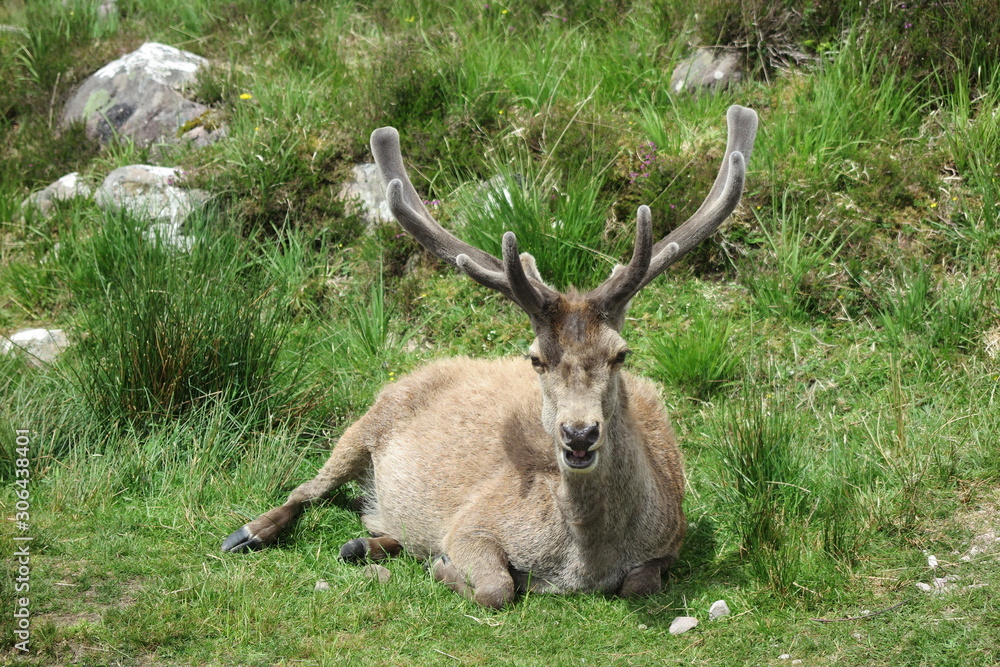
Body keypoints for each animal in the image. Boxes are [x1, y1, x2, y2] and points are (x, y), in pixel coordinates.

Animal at [222, 105, 758, 608]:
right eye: (536, 358)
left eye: (620, 354)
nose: (579, 433)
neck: (584, 561)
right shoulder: (471, 522)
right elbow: (497, 587)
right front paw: (448, 569)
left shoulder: (673, 538)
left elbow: (639, 584)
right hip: (364, 426)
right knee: (305, 489)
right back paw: (248, 534)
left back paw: (366, 544)